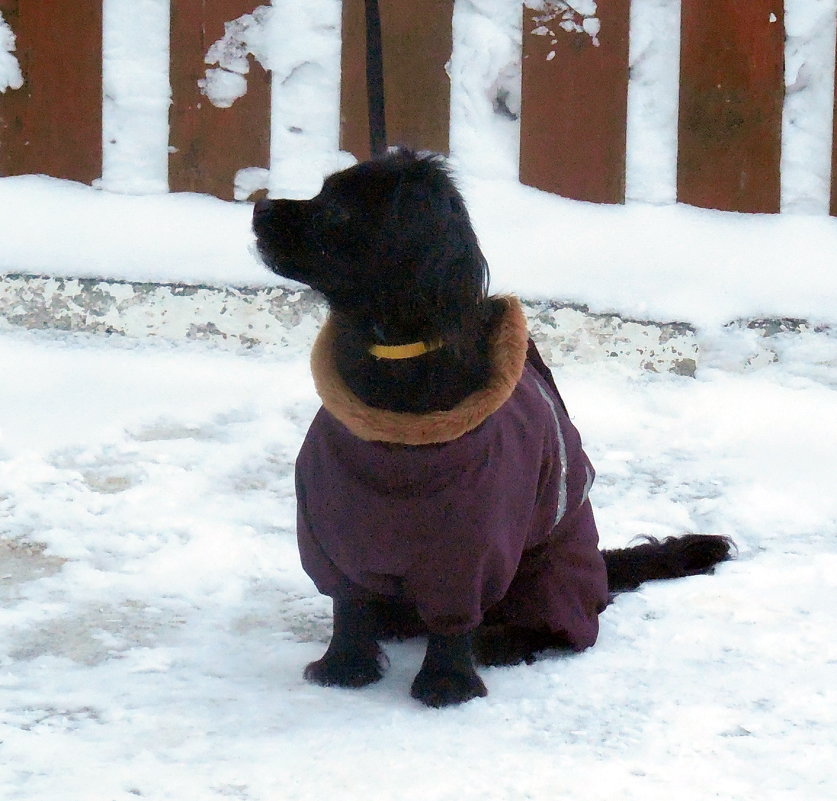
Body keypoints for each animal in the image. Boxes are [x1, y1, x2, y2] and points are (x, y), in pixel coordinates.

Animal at [251, 150, 728, 708]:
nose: (258, 209)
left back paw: (505, 640)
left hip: (547, 571)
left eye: (337, 211)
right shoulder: (334, 521)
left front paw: (446, 683)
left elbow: (455, 615)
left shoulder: (473, 533)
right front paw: (344, 665)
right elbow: (347, 601)